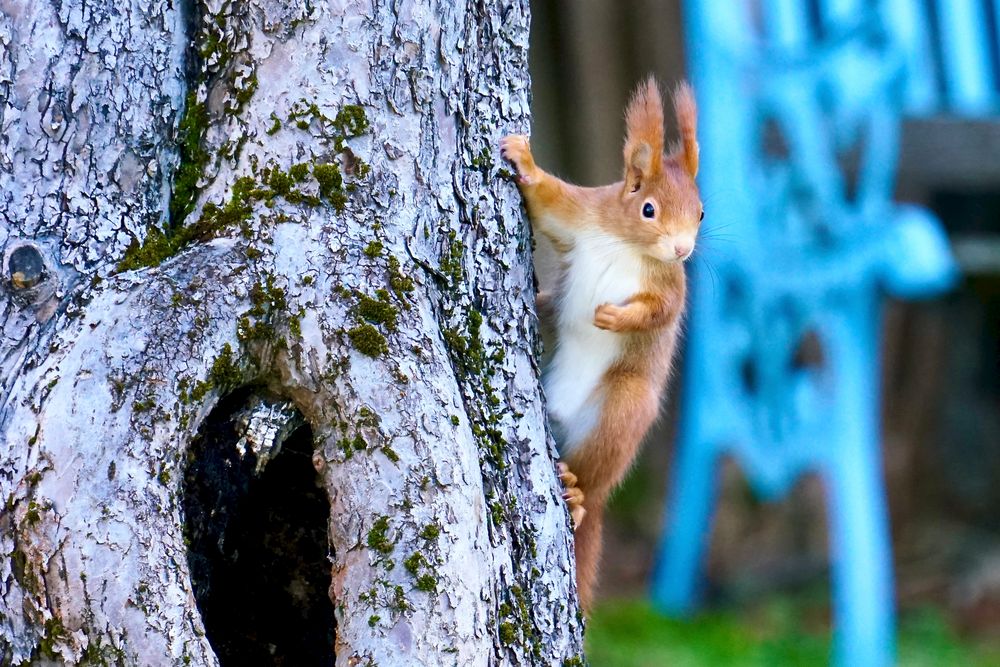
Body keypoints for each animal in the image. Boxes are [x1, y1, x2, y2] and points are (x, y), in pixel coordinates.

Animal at [500, 78, 704, 612]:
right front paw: (523, 159)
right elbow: (547, 199)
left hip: (622, 409)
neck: (628, 245)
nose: (683, 249)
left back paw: (575, 495)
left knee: (592, 482)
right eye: (648, 208)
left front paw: (612, 317)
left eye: (701, 212)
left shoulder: (671, 287)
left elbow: (659, 312)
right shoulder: (580, 215)